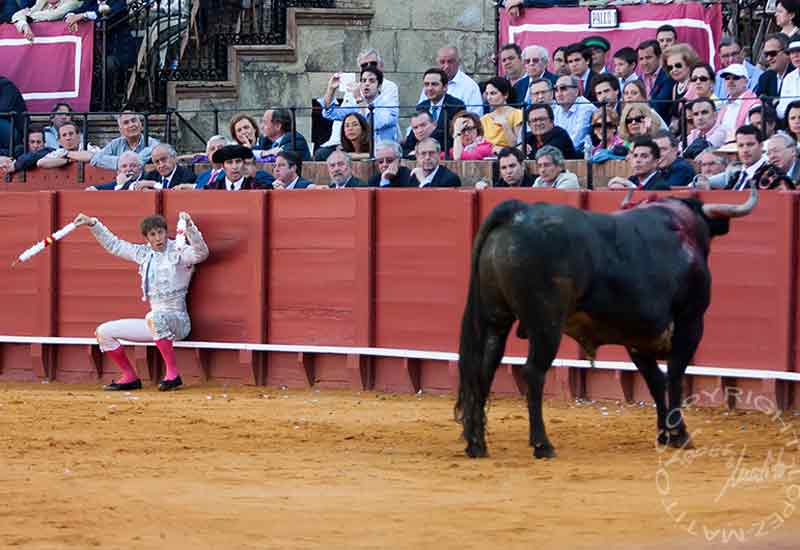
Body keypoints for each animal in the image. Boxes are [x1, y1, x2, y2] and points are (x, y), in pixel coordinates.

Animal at [456, 190, 756, 462]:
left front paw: (663, 434)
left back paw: (477, 444)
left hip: (496, 319)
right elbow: (674, 377)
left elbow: (656, 381)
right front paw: (679, 435)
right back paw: (542, 445)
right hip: (546, 324)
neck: (682, 229)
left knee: (484, 370)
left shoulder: (638, 337)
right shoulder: (689, 323)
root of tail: (518, 213)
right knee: (533, 373)